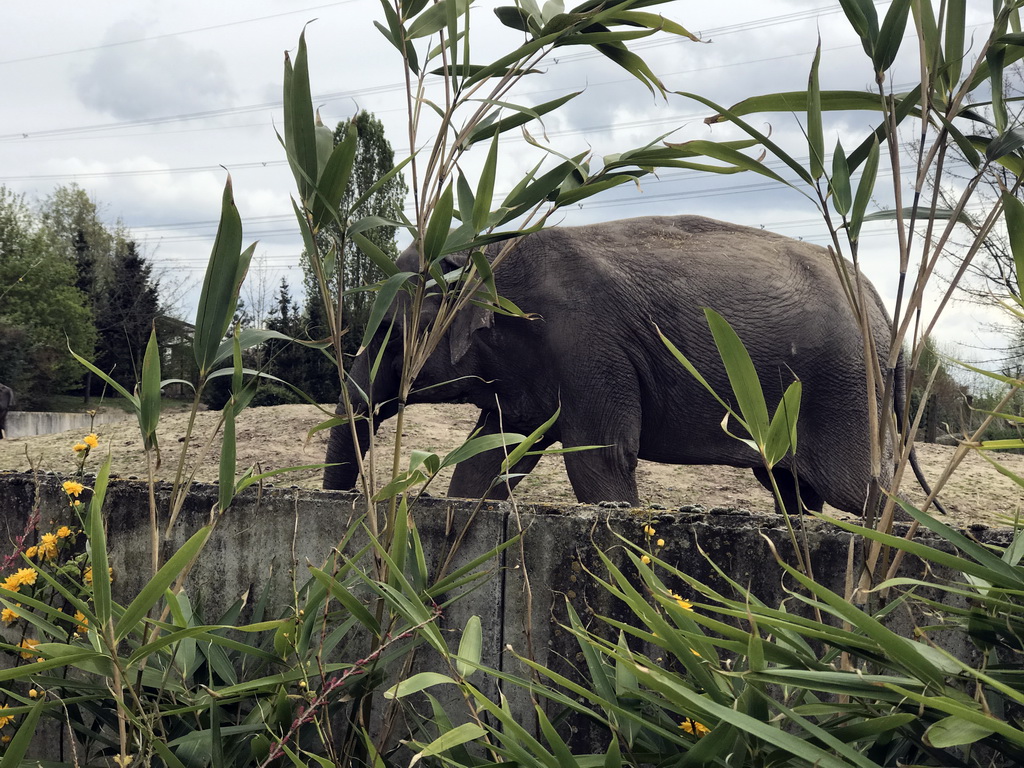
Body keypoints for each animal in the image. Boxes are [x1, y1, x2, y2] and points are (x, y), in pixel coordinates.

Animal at [325, 217, 921, 518]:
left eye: (387, 332)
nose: (347, 502)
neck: (491, 252)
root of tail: (882, 309)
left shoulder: (587, 344)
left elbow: (601, 458)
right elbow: (490, 456)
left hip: (846, 391)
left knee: (859, 489)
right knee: (792, 489)